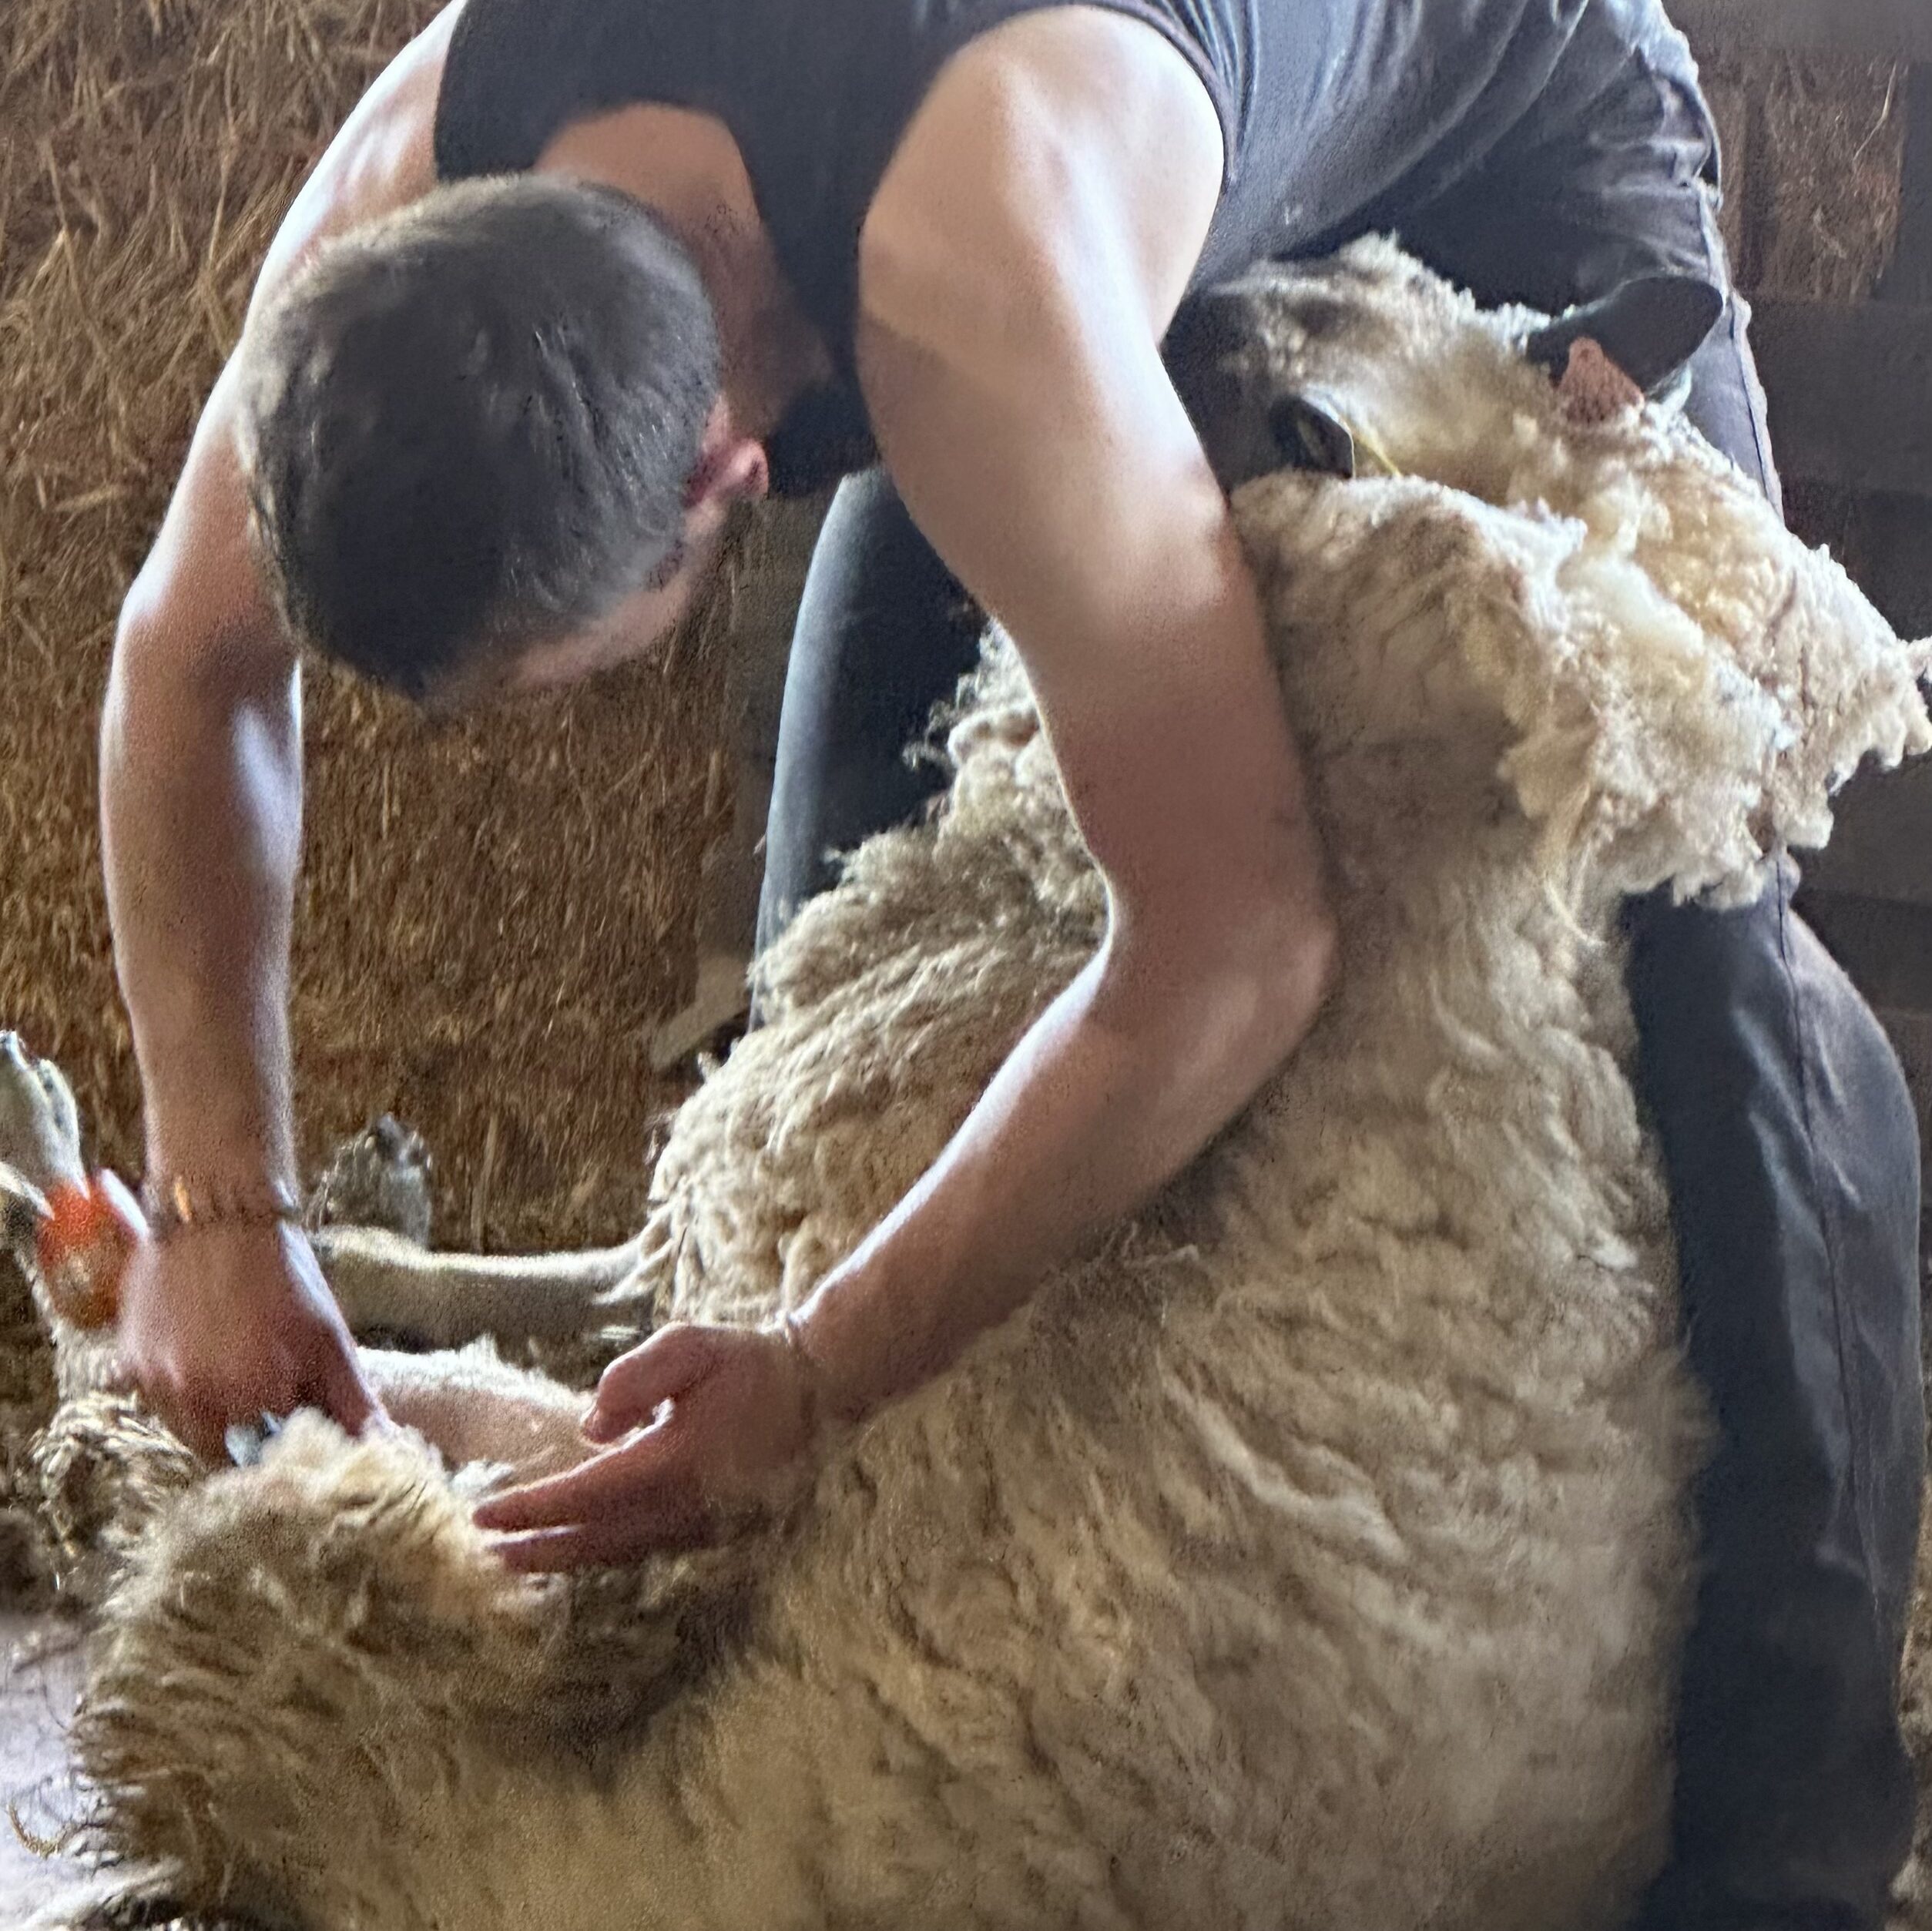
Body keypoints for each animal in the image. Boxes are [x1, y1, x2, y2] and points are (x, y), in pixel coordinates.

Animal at [15, 237, 1932, 1931]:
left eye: (1298, 421)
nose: (1166, 303)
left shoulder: (778, 1301)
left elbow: (538, 1365)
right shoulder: (740, 1247)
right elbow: (528, 1284)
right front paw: (336, 1241)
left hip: (434, 1669)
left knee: (337, 1472)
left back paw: (98, 1282)